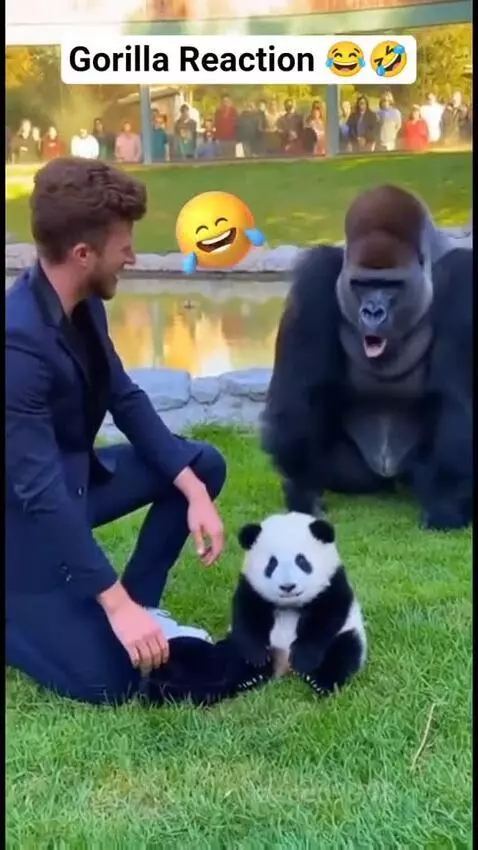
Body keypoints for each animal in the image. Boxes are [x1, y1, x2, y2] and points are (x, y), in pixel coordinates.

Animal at [230, 511, 367, 696]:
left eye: (302, 561)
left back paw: (320, 682)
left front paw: (302, 660)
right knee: (233, 654)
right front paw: (257, 657)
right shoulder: (250, 586)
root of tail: (283, 667)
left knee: (345, 652)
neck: (290, 604)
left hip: (345, 633)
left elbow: (326, 617)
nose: (288, 586)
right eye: (272, 563)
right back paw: (250, 677)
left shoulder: (333, 582)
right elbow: (247, 615)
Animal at [260, 185, 472, 531]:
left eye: (391, 285)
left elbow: (457, 403)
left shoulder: (464, 281)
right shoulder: (316, 276)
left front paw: (447, 504)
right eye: (361, 284)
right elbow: (300, 396)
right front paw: (302, 491)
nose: (373, 311)